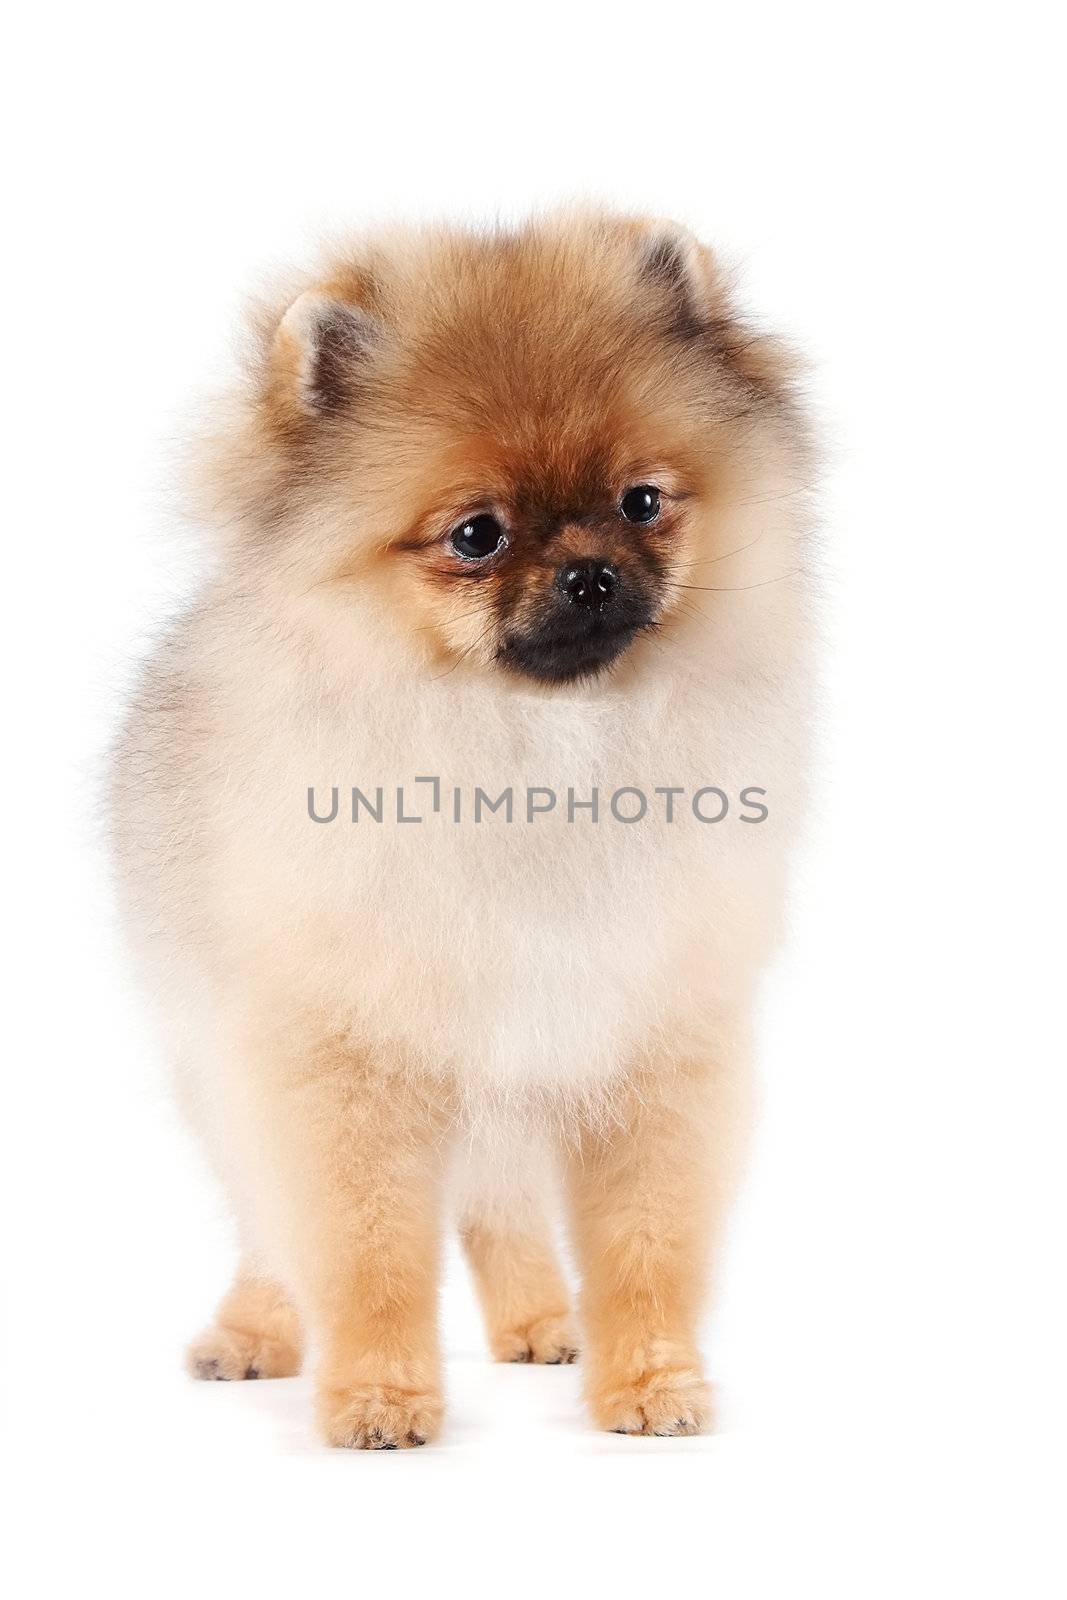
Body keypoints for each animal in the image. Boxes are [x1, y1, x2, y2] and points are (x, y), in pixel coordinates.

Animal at [112, 206, 812, 1446]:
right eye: (476, 534)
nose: (588, 574)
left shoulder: (648, 1043)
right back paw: (254, 1332)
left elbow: (645, 1246)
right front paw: (378, 1395)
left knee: (499, 1207)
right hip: (215, 1060)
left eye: (639, 501)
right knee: (265, 1225)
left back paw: (538, 1321)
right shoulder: (340, 1057)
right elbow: (363, 1251)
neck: (535, 757)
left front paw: (650, 1382)